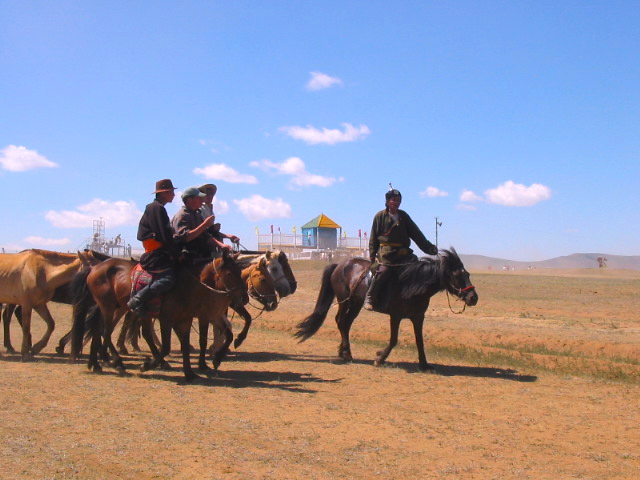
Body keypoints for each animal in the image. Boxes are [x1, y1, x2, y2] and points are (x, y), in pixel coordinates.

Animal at [70, 253, 248, 380]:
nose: (244, 298)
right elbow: (170, 346)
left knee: (99, 330)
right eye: (230, 273)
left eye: (241, 272)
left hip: (115, 308)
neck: (189, 284)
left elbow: (188, 344)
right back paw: (117, 362)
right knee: (106, 332)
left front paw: (192, 372)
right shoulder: (170, 319)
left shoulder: (188, 319)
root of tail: (95, 268)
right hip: (108, 307)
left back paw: (97, 364)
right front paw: (147, 365)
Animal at [294, 249, 476, 370]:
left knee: (346, 323)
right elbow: (394, 339)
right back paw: (346, 353)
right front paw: (379, 358)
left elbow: (420, 340)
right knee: (340, 321)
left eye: (467, 274)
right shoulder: (396, 316)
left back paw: (344, 351)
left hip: (356, 303)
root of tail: (340, 264)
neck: (412, 284)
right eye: (456, 275)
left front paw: (424, 364)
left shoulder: (418, 317)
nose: (473, 297)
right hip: (344, 300)